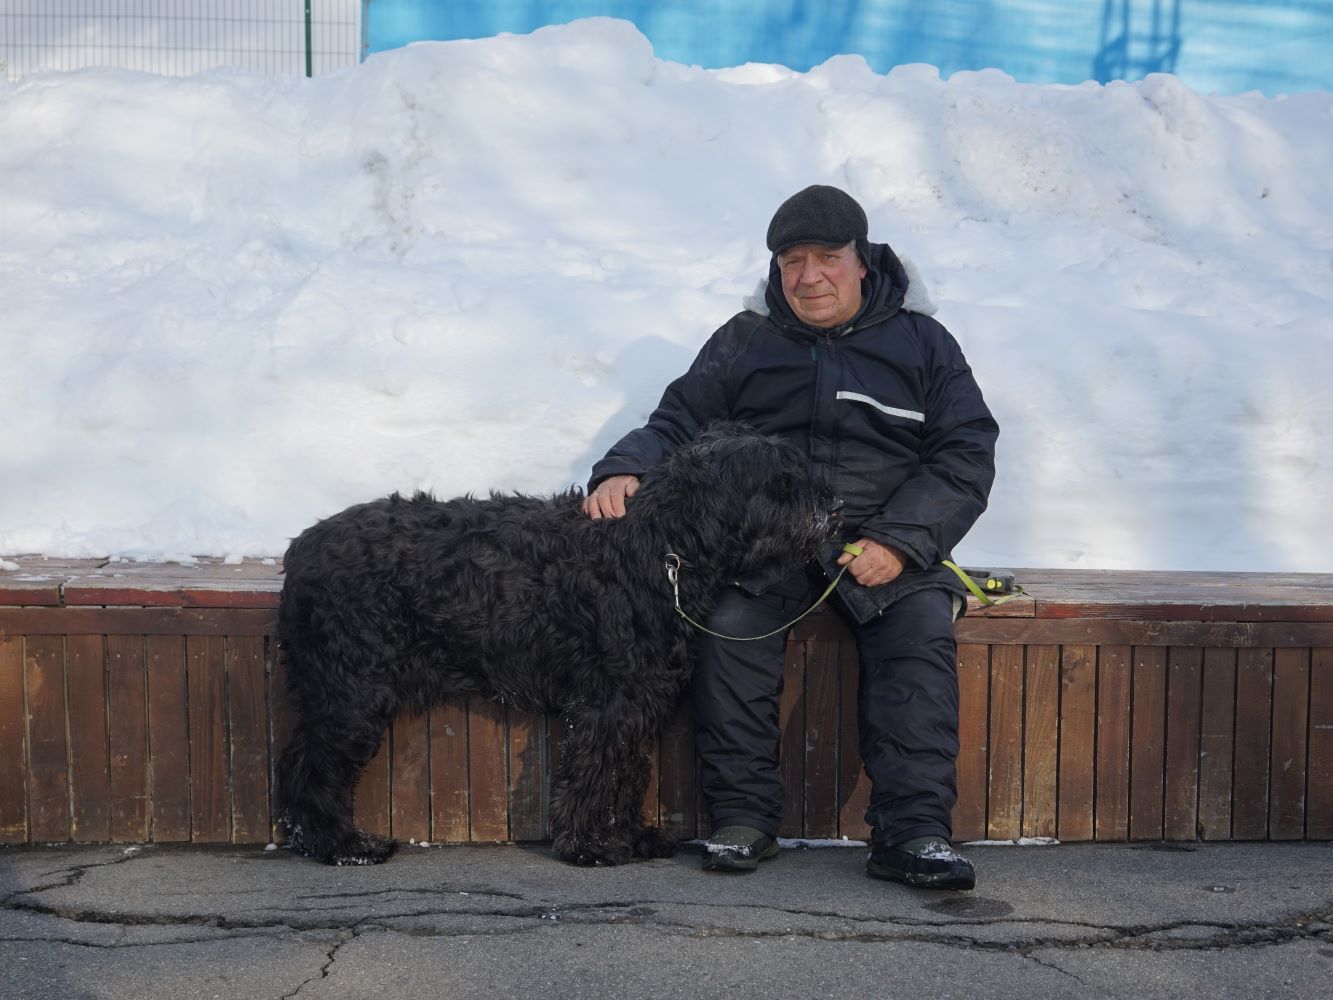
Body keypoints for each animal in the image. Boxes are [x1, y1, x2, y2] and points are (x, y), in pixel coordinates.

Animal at [274, 424, 831, 869]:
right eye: (780, 480)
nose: (833, 506)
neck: (659, 547)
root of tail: (298, 550)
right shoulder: (607, 701)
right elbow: (594, 771)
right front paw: (590, 846)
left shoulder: (639, 699)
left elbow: (627, 772)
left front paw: (629, 835)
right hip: (353, 692)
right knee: (309, 768)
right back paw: (342, 844)